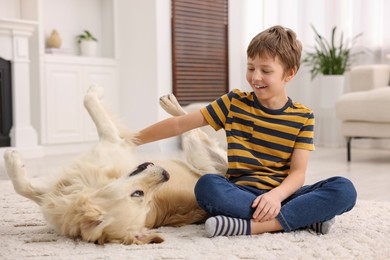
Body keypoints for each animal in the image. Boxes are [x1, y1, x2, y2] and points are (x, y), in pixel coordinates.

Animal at [3, 85, 229, 244]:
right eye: (140, 196)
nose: (166, 174)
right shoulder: (59, 193)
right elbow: (25, 188)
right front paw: (15, 161)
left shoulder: (112, 141)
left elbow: (91, 104)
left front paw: (11, 156)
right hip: (196, 153)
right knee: (193, 123)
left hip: (196, 150)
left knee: (195, 125)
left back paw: (170, 103)